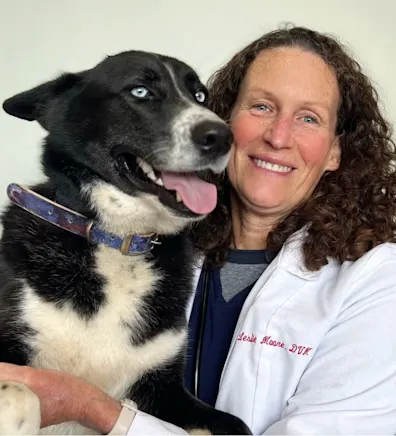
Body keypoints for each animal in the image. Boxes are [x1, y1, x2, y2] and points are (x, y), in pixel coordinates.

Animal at [0, 49, 251, 434]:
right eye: (140, 92)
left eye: (200, 95)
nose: (224, 136)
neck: (120, 241)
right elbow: (17, 391)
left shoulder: (167, 390)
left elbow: (236, 424)